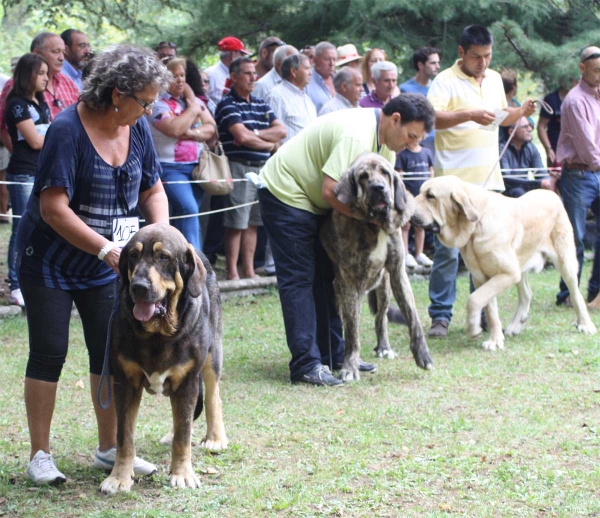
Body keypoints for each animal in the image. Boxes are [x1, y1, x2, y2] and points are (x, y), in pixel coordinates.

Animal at [101, 223, 227, 496]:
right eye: (133, 256)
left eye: (163, 257)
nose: (138, 286)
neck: (157, 334)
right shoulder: (125, 383)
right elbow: (124, 436)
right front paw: (119, 477)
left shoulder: (188, 381)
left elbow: (183, 436)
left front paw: (182, 474)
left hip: (212, 356)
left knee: (212, 396)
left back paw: (215, 438)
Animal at [322, 154, 434, 382]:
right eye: (364, 176)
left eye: (385, 173)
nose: (379, 188)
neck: (375, 225)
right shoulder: (349, 283)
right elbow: (352, 332)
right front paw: (350, 366)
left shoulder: (398, 272)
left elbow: (413, 316)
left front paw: (422, 354)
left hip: (384, 288)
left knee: (381, 318)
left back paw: (384, 347)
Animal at [412, 177, 596, 352]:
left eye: (430, 196)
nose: (409, 212)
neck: (475, 227)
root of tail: (552, 194)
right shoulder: (483, 278)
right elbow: (489, 309)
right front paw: (495, 340)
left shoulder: (507, 273)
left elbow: (474, 299)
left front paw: (473, 329)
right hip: (521, 265)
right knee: (526, 294)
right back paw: (514, 326)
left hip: (564, 260)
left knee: (575, 293)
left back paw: (586, 324)